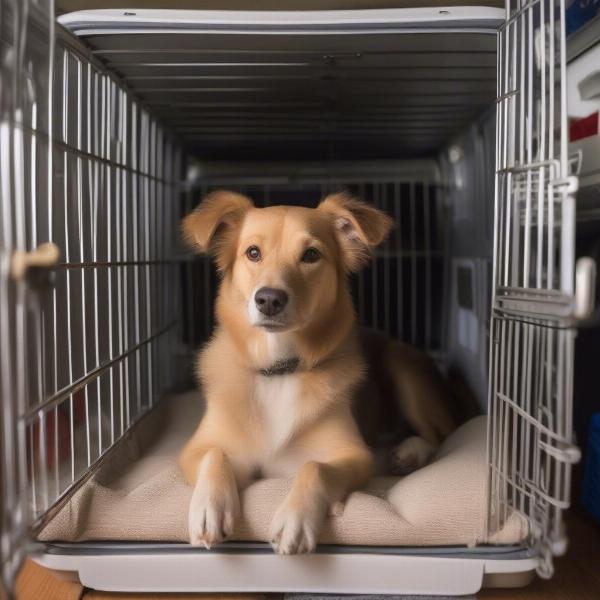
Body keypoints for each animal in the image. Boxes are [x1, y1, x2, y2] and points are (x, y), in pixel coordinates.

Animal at [178, 190, 454, 556]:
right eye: (253, 252)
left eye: (311, 255)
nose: (269, 299)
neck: (279, 372)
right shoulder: (196, 447)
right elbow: (214, 455)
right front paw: (210, 508)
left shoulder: (353, 456)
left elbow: (314, 468)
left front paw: (294, 519)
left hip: (401, 362)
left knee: (441, 434)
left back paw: (410, 452)